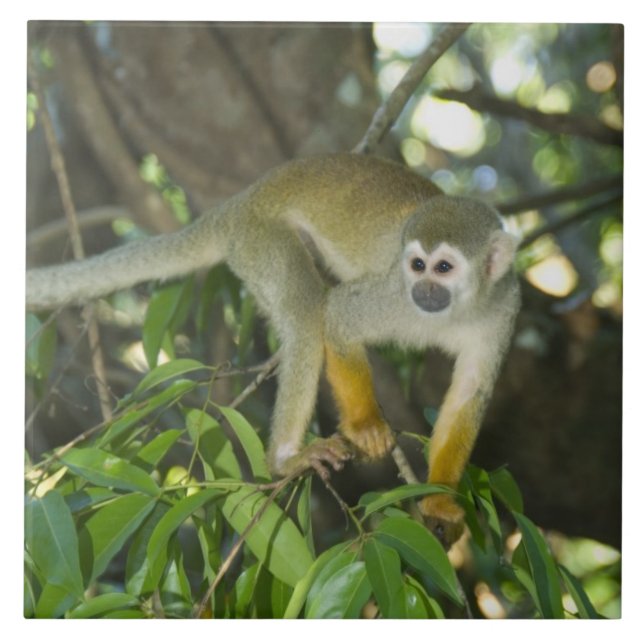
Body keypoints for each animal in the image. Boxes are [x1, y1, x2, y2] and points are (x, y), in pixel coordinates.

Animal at [26, 153, 520, 547]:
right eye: (417, 265)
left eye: (444, 268)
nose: (424, 291)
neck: (455, 309)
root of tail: (240, 202)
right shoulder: (394, 294)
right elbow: (338, 317)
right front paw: (364, 426)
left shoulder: (504, 307)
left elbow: (470, 395)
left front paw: (438, 501)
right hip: (259, 239)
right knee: (306, 312)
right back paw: (284, 459)